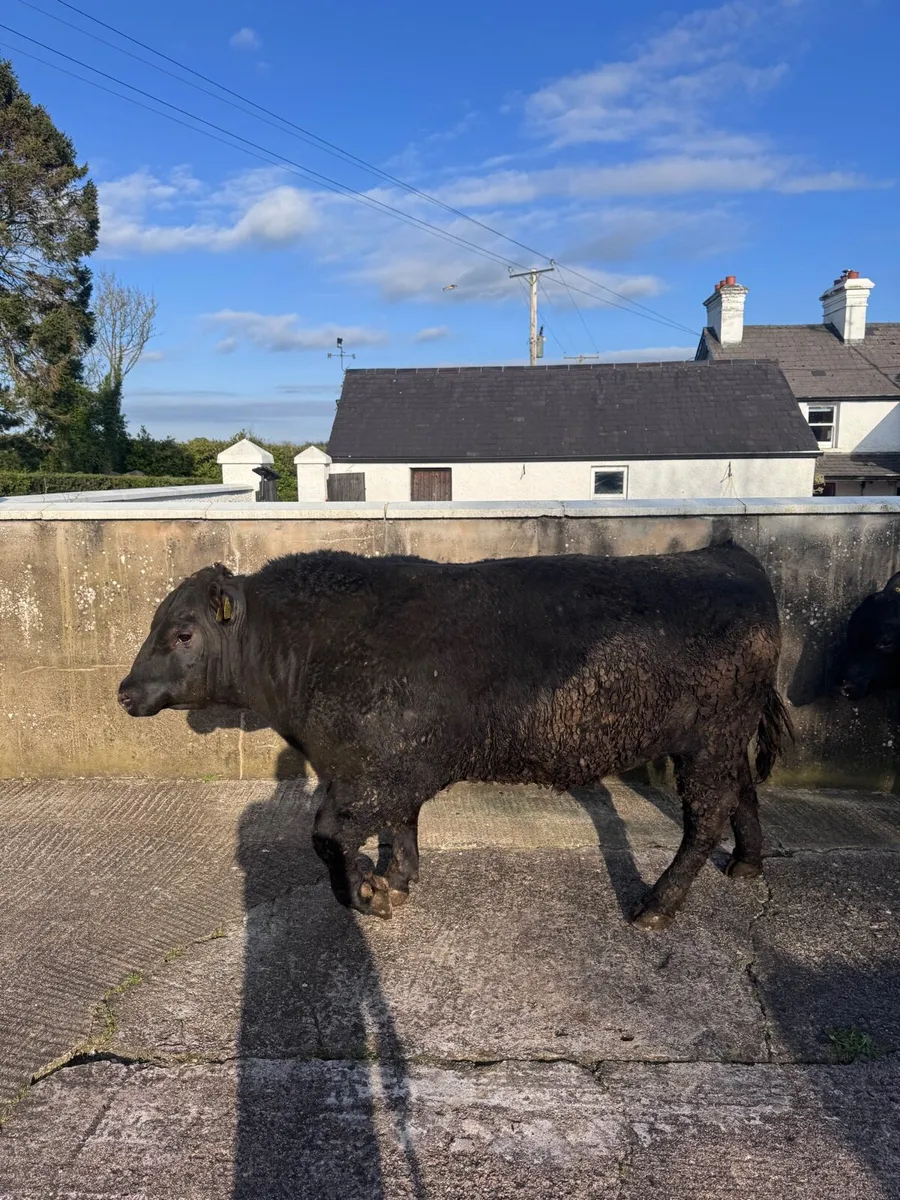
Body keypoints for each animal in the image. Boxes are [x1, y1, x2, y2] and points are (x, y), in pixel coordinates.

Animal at [118, 543, 792, 930]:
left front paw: (368, 895)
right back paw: (746, 866)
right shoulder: (390, 770)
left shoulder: (370, 774)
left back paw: (656, 906)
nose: (124, 692)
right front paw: (397, 880)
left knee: (707, 816)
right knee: (743, 795)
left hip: (707, 741)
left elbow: (328, 836)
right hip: (725, 741)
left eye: (183, 633)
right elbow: (400, 828)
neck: (311, 647)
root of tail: (729, 556)